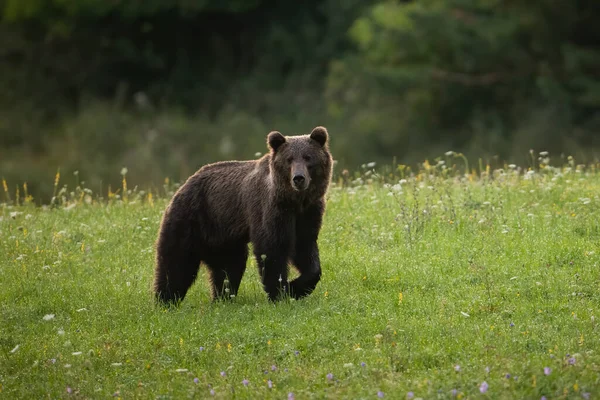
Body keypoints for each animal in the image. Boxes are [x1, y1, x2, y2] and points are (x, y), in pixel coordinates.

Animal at [152, 125, 332, 304]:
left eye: (308, 157)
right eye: (289, 159)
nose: (298, 178)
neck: (294, 201)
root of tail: (184, 185)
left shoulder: (308, 212)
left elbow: (305, 247)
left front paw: (296, 287)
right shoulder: (270, 208)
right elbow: (271, 248)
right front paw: (281, 292)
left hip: (223, 237)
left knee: (228, 266)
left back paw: (222, 297)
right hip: (190, 220)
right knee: (176, 263)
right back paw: (166, 300)